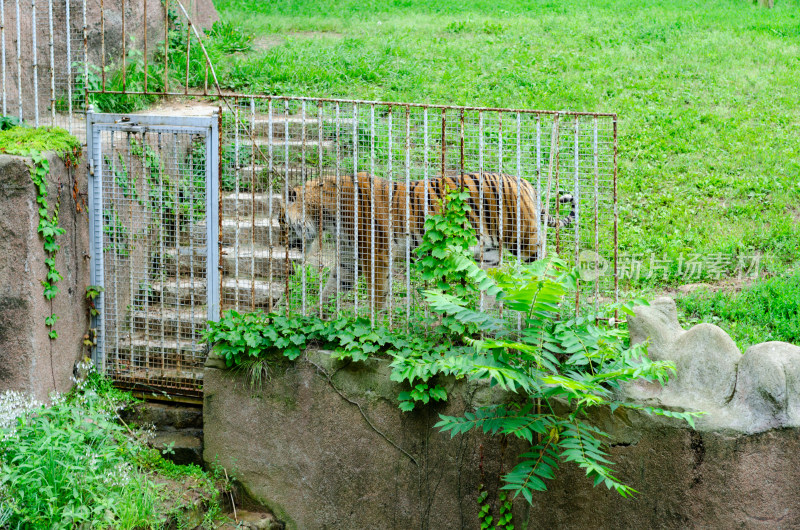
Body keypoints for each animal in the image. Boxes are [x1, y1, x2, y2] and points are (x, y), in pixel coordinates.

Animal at [276, 171, 576, 308]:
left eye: (281, 222)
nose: (282, 245)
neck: (324, 216)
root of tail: (525, 182)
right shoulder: (349, 261)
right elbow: (331, 289)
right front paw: (317, 317)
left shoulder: (376, 256)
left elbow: (377, 295)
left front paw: (375, 326)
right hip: (489, 255)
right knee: (491, 288)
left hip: (524, 242)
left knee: (551, 270)